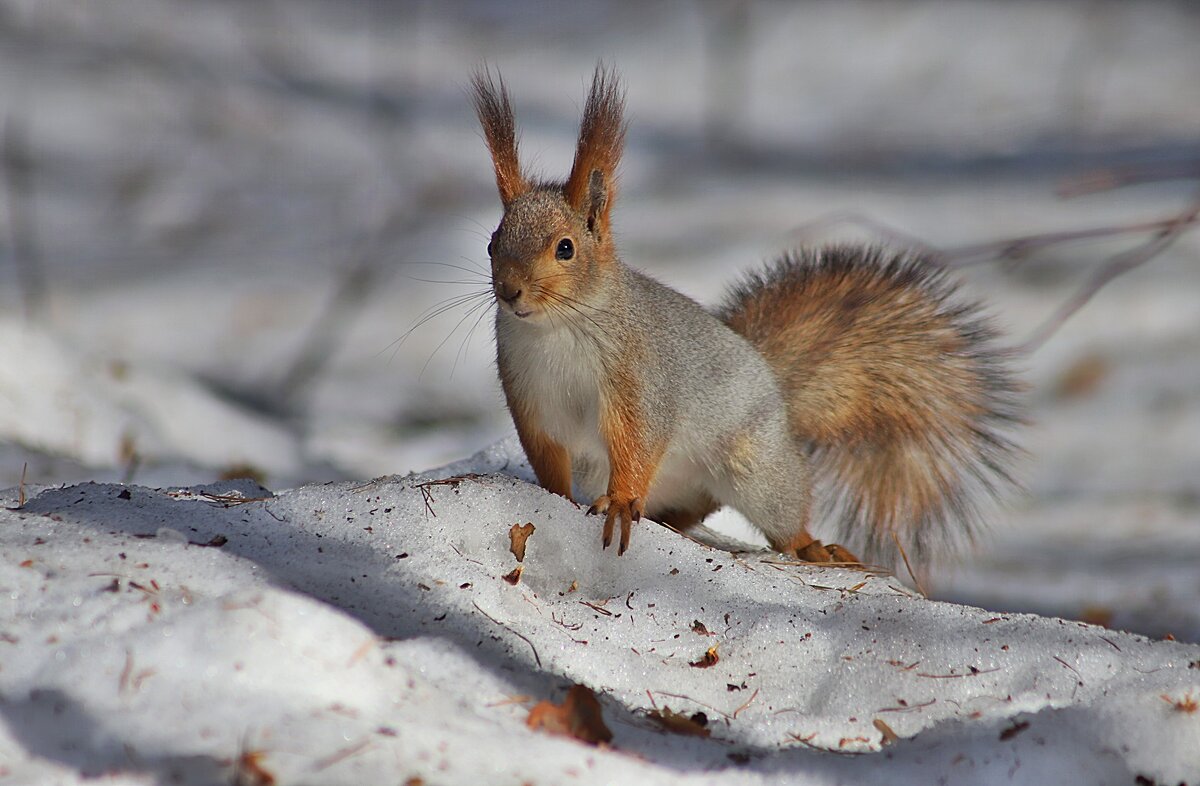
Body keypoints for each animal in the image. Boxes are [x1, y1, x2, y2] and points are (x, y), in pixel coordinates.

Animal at [472, 64, 1017, 561]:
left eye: (565, 248)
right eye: (492, 243)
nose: (510, 292)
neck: (556, 330)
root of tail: (776, 387)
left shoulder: (640, 383)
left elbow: (638, 443)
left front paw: (622, 501)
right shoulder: (530, 399)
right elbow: (547, 460)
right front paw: (554, 501)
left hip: (758, 469)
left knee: (782, 515)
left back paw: (811, 545)